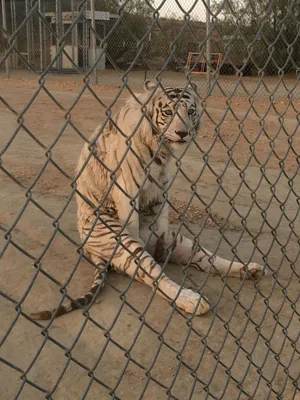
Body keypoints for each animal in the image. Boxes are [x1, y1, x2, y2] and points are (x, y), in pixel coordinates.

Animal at [29, 82, 266, 322]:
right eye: (168, 112)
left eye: (191, 112)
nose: (183, 133)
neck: (162, 151)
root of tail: (87, 247)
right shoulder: (127, 190)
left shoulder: (162, 188)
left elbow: (162, 216)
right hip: (117, 238)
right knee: (153, 272)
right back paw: (192, 300)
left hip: (179, 241)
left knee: (205, 259)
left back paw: (249, 269)